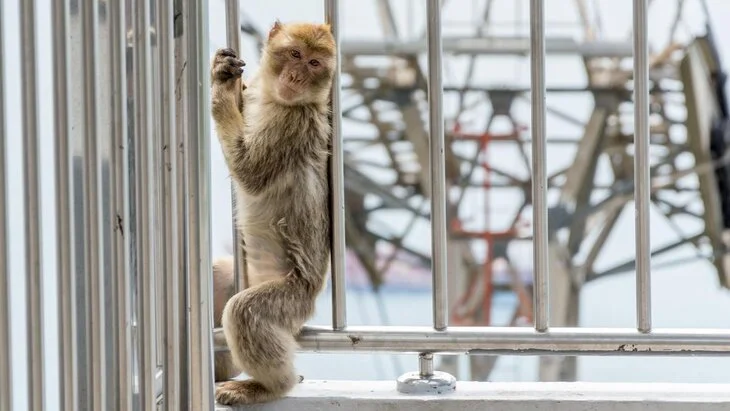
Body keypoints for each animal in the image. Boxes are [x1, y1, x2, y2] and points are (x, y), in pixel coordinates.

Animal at [208, 20, 336, 408]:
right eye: (294, 54)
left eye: (314, 63)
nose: (296, 76)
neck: (272, 99)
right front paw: (226, 72)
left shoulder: (288, 125)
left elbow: (248, 171)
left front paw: (220, 87)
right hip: (244, 275)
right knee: (219, 277)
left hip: (291, 299)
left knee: (244, 312)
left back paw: (270, 386)